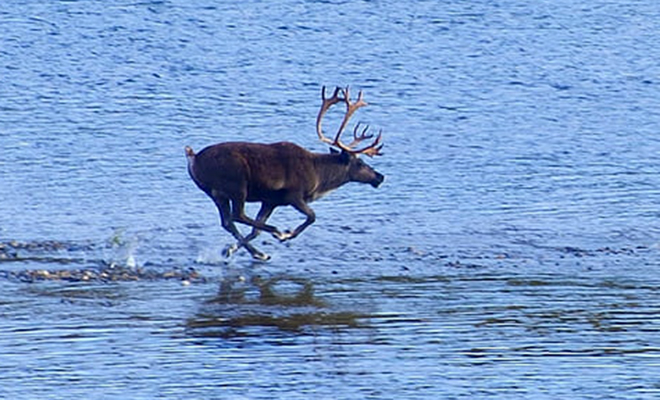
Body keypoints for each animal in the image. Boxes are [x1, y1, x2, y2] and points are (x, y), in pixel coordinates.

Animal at [183, 86, 384, 260]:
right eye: (360, 162)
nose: (380, 177)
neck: (319, 176)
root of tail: (193, 158)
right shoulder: (293, 195)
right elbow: (312, 216)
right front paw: (285, 234)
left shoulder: (270, 200)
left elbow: (255, 231)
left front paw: (230, 249)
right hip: (237, 185)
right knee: (237, 215)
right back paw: (275, 232)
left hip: (215, 193)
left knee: (228, 222)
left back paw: (258, 253)